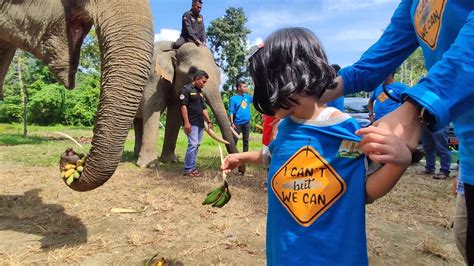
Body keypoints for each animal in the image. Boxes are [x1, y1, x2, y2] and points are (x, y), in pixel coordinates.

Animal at [133, 41, 244, 170]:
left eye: (218, 72)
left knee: (138, 121)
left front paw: (171, 161)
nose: (240, 171)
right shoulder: (154, 78)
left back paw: (136, 156)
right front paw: (149, 165)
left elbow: (175, 113)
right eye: (192, 71)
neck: (174, 49)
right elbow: (153, 108)